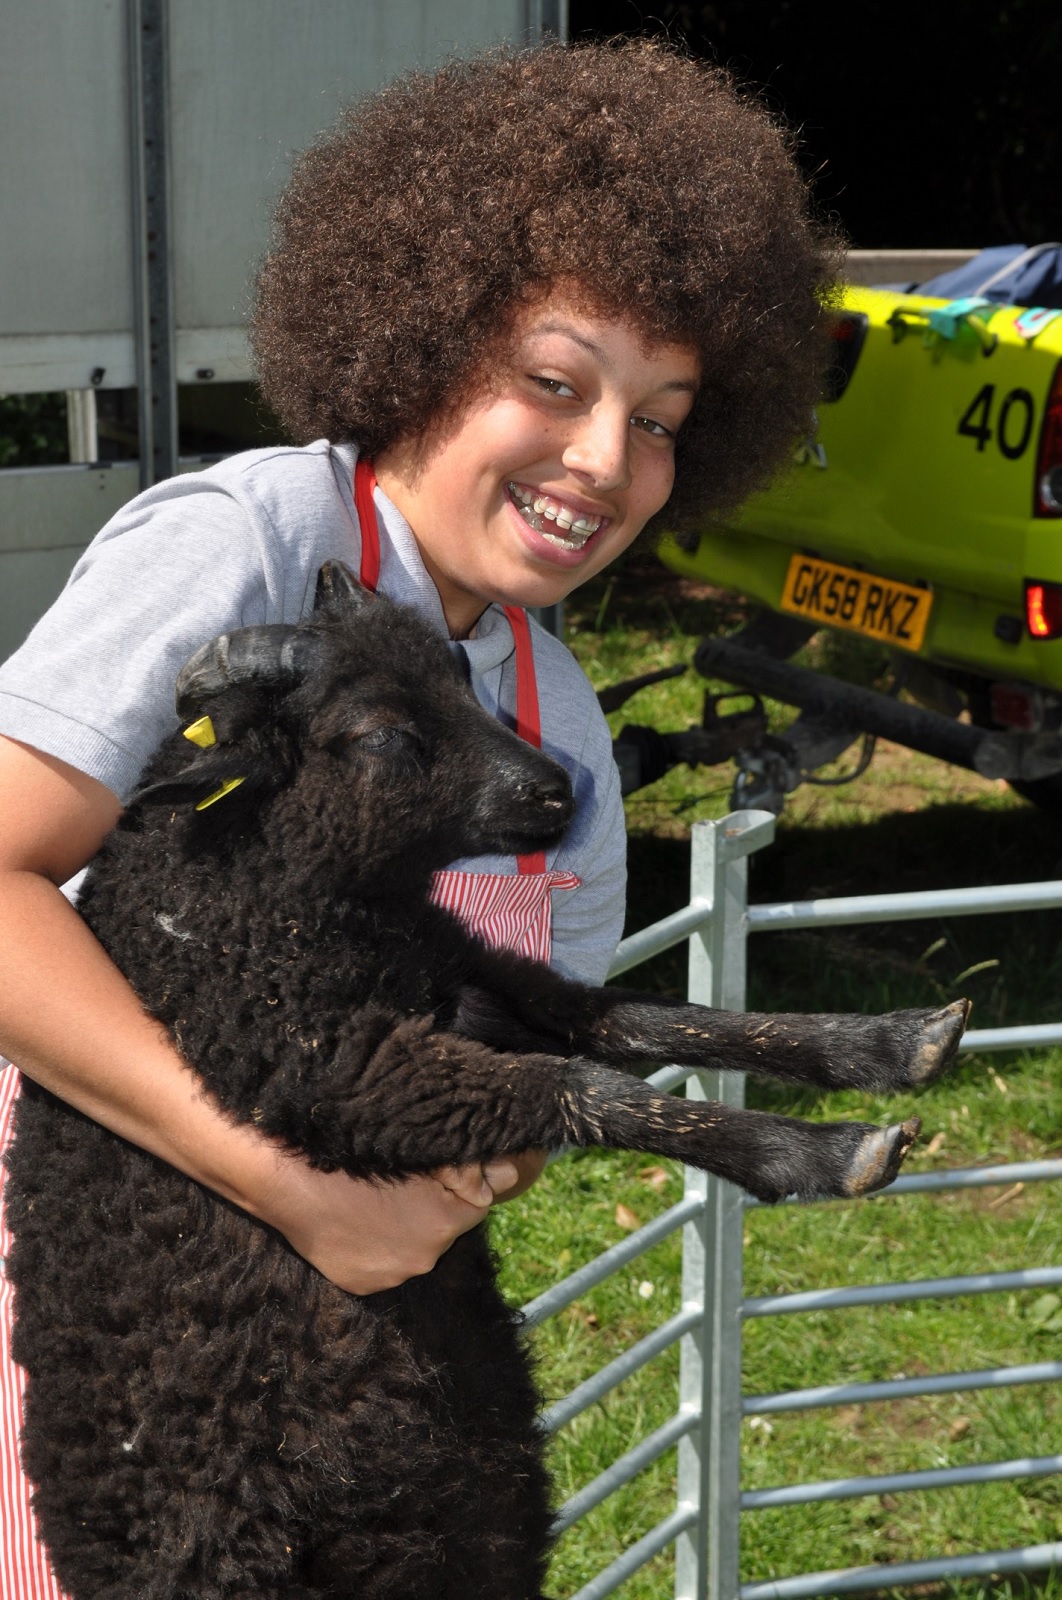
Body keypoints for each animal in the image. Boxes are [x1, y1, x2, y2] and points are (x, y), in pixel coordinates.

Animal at [4, 565, 967, 1600]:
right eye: (377, 732)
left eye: (462, 674)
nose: (557, 790)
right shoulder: (346, 1074)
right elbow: (583, 1085)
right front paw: (822, 1151)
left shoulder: (479, 986)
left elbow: (650, 1018)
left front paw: (890, 1044)